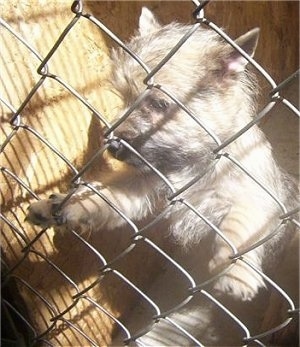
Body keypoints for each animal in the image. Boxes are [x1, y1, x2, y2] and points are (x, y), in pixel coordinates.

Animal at [27, 6, 298, 346]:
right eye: (123, 96)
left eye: (159, 104)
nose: (111, 144)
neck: (191, 161)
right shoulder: (140, 186)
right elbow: (102, 197)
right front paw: (60, 206)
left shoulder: (255, 198)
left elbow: (239, 224)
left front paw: (236, 272)